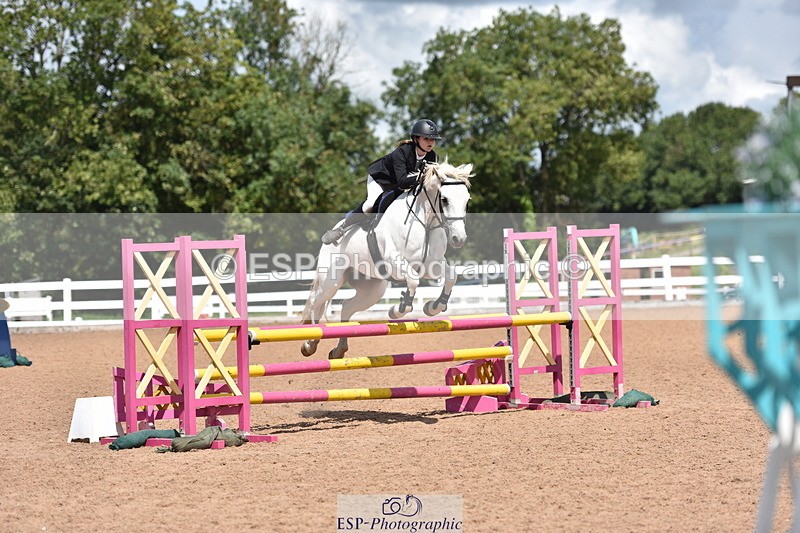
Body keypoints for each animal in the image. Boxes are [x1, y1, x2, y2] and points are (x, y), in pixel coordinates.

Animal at [301, 160, 473, 359]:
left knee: (346, 306)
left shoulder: (432, 264)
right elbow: (413, 281)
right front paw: (398, 310)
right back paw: (310, 342)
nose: (459, 239)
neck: (426, 222)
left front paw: (433, 307)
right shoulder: (394, 261)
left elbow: (451, 276)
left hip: (373, 289)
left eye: (467, 200)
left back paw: (339, 350)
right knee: (316, 301)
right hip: (331, 281)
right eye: (444, 199)